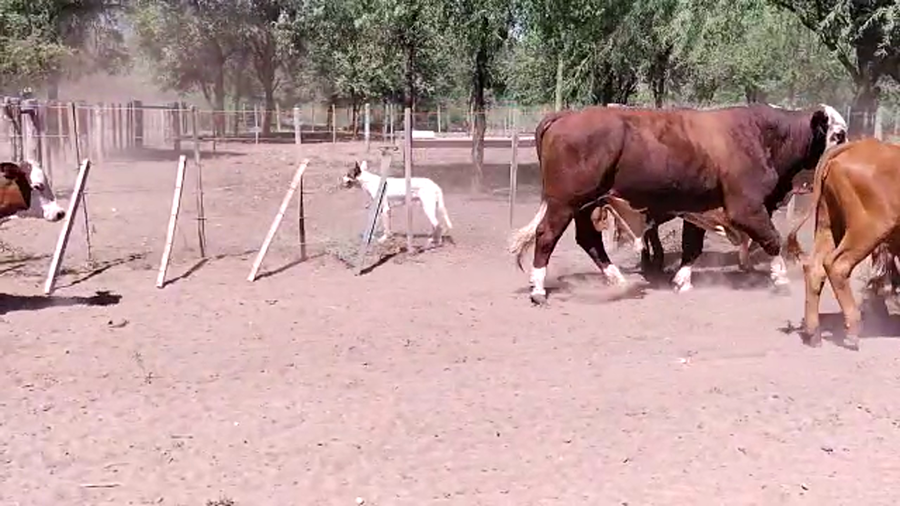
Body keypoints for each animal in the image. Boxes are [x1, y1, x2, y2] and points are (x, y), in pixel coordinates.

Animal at [508, 103, 847, 305]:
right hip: (564, 203)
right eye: (838, 134)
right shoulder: (746, 208)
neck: (763, 135)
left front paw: (682, 280)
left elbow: (692, 247)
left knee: (589, 240)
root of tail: (564, 115)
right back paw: (538, 288)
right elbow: (772, 239)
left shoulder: (699, 210)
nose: (849, 148)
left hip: (587, 205)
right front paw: (780, 279)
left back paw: (618, 280)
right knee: (546, 236)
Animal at [784, 138, 900, 350]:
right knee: (837, 265)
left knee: (814, 268)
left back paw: (814, 334)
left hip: (828, 226)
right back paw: (852, 332)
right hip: (866, 231)